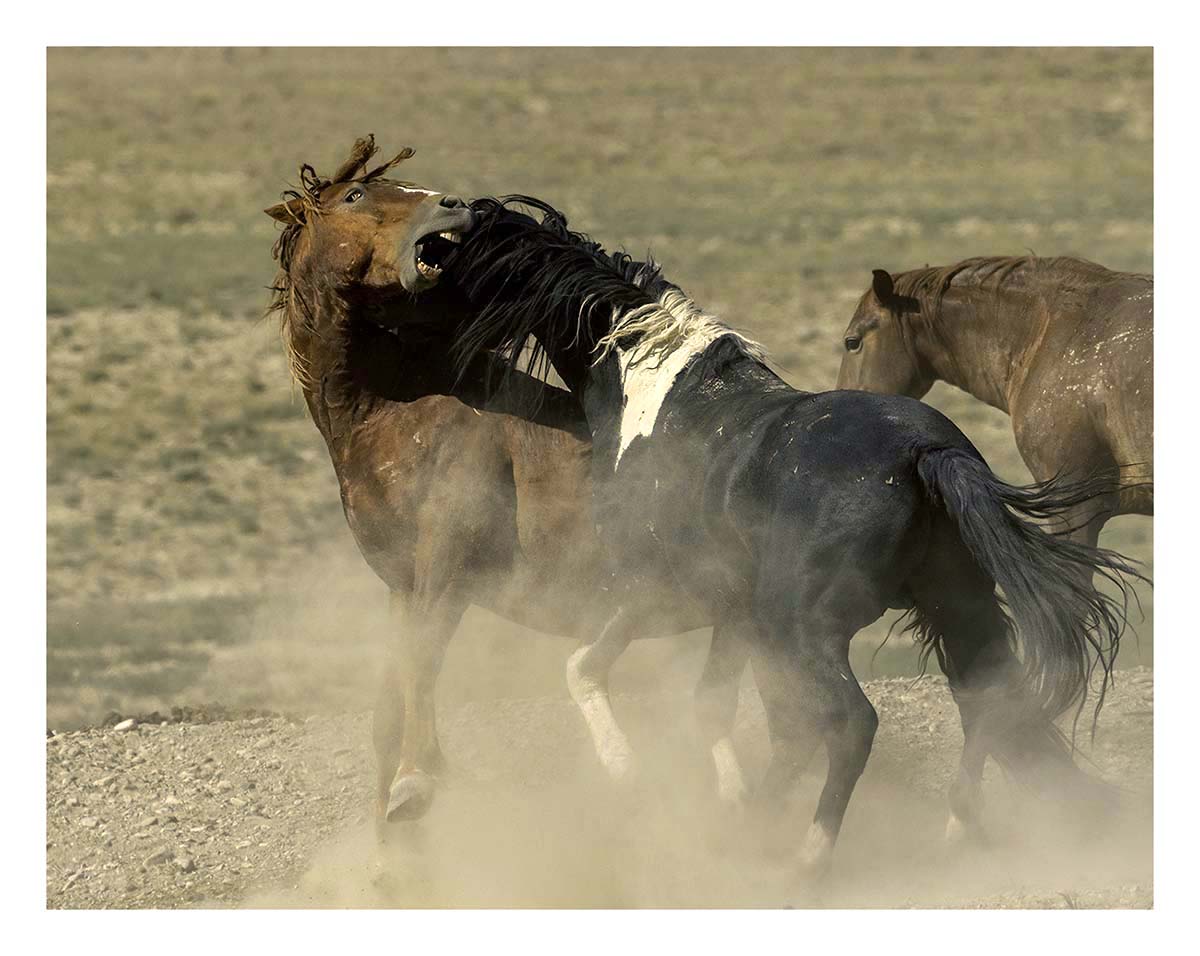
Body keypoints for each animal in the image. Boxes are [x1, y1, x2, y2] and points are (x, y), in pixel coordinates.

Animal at [263, 137, 719, 837]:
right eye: (357, 194)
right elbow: (388, 706)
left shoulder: (448, 568)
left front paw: (417, 783)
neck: (393, 411)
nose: (452, 205)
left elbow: (422, 665)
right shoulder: (402, 582)